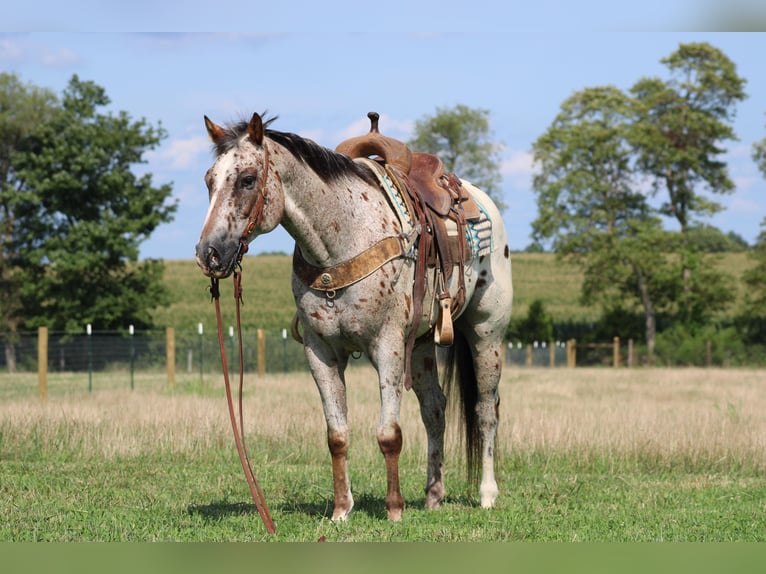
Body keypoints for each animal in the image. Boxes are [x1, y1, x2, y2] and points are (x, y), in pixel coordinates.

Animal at [195, 111, 512, 520]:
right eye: (209, 180)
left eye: (248, 179)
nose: (209, 253)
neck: (342, 241)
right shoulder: (320, 352)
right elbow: (337, 436)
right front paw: (341, 509)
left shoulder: (387, 347)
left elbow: (389, 434)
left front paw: (394, 510)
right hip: (422, 344)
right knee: (435, 410)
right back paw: (433, 495)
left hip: (487, 333)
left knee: (486, 410)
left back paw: (487, 494)